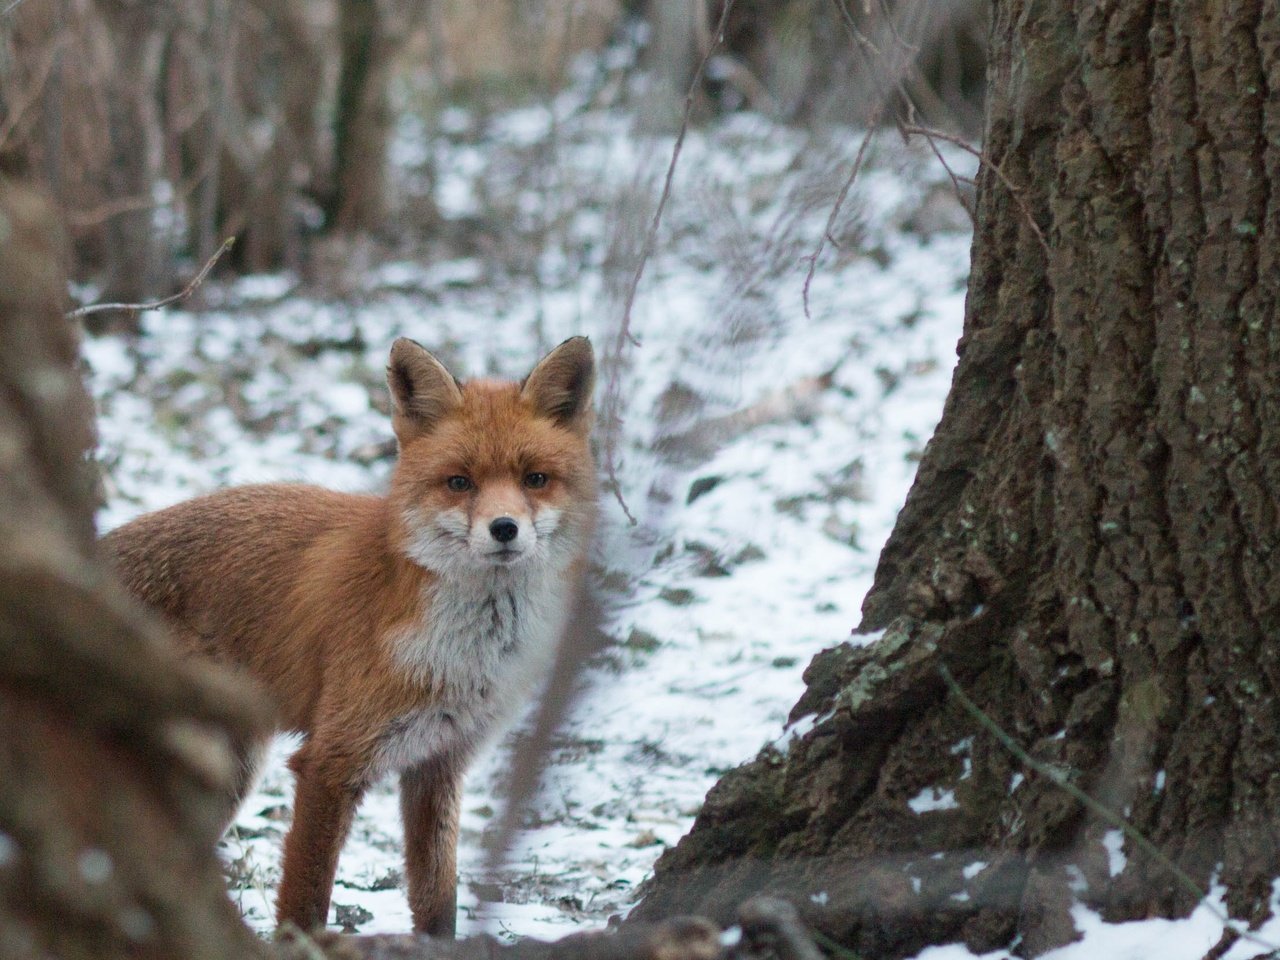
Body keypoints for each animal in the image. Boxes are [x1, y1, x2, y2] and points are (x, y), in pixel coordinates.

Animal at [102, 335, 596, 936]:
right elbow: (305, 903)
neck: (467, 655)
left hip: (225, 773)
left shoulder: (439, 762)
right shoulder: (329, 762)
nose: (504, 529)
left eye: (535, 479)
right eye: (460, 482)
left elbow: (438, 900)